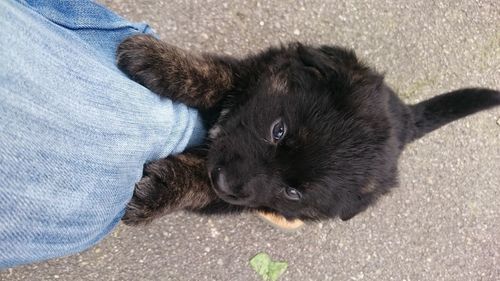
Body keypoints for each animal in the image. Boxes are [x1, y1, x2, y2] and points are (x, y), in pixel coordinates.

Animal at [114, 35, 500, 224]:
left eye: (293, 192)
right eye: (278, 131)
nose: (226, 182)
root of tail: (405, 117)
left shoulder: (238, 200)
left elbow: (200, 185)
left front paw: (162, 191)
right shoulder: (258, 70)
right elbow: (219, 74)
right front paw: (157, 61)